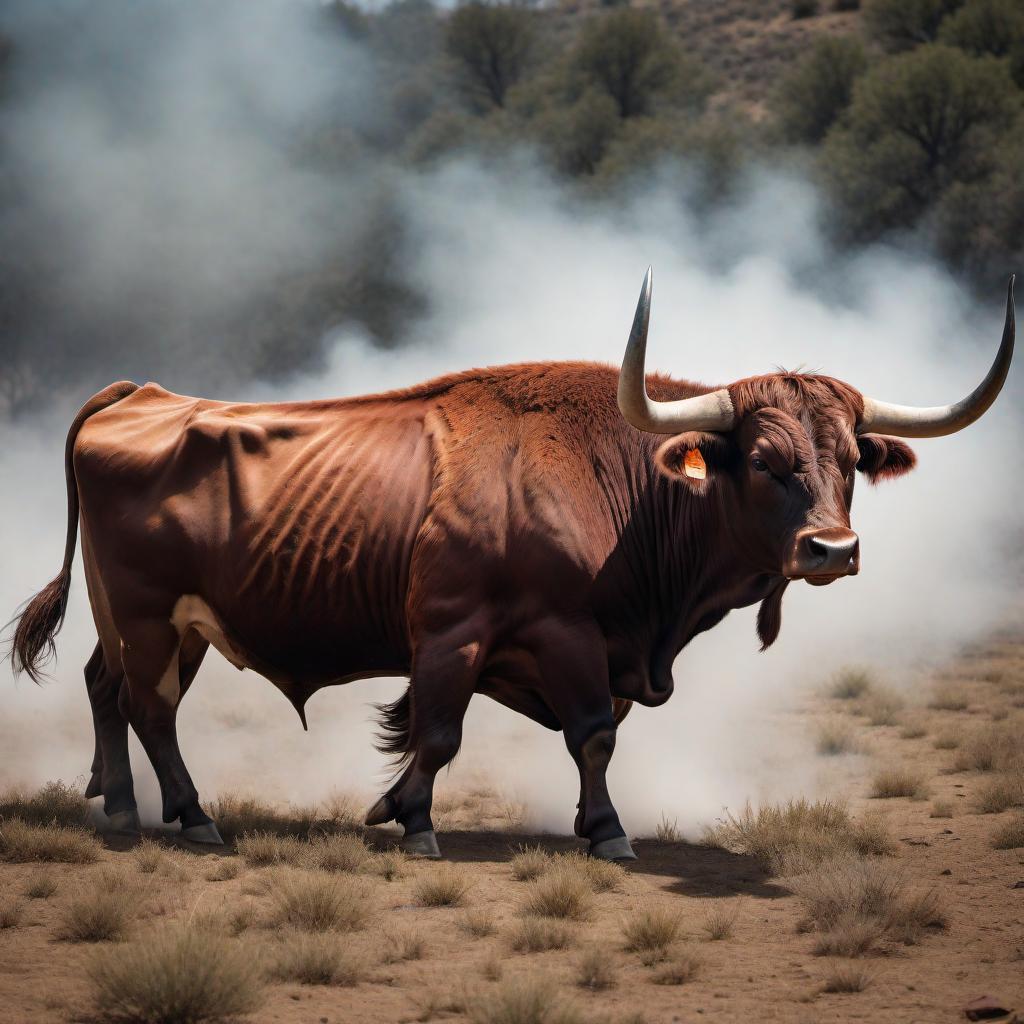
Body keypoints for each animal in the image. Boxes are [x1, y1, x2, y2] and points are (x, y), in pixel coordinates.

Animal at [8, 272, 1015, 856]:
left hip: (170, 627)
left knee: (109, 692)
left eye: (848, 461)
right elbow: (486, 733)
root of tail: (142, 394)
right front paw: (444, 823)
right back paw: (193, 817)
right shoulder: (475, 634)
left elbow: (575, 734)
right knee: (151, 710)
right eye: (766, 461)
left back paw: (123, 806)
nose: (832, 550)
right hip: (145, 616)